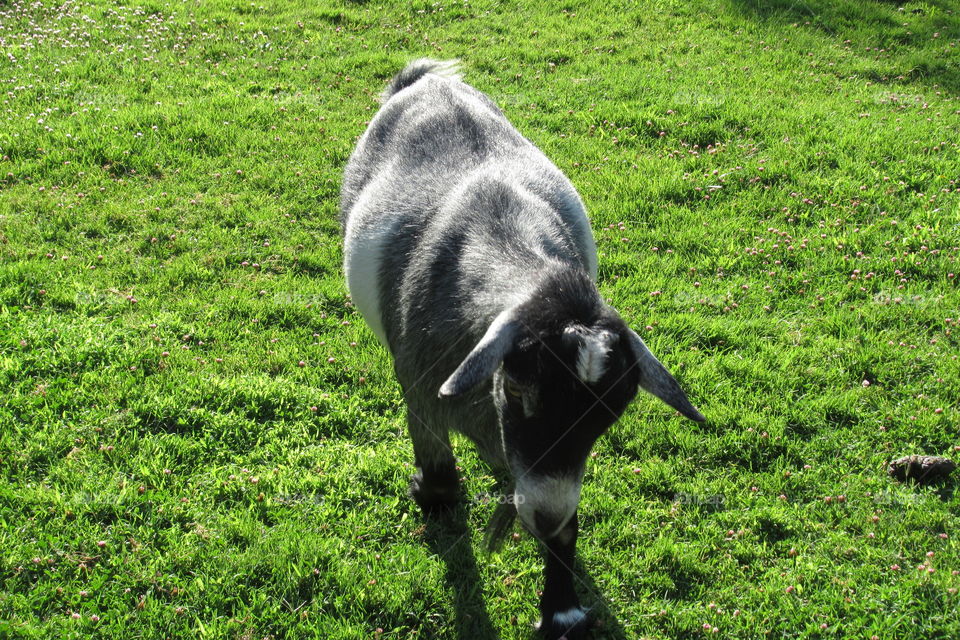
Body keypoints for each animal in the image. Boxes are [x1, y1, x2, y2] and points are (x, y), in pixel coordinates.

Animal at [341, 59, 704, 639]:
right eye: (517, 387)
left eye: (611, 415)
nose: (544, 518)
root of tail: (428, 79)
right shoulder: (419, 387)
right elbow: (440, 475)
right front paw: (433, 494)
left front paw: (562, 608)